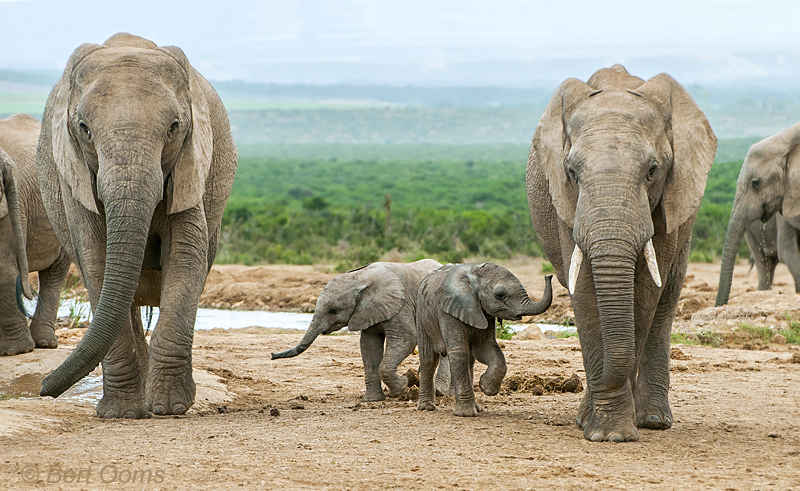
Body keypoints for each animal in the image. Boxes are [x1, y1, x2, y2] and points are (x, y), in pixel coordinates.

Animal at [36, 33, 238, 418]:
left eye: (174, 127)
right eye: (84, 129)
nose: (42, 389)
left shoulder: (190, 165)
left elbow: (186, 257)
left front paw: (171, 407)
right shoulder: (75, 178)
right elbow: (97, 262)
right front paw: (121, 414)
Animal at [272, 260, 440, 402]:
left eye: (333, 310)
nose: (272, 355)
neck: (360, 278)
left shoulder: (401, 305)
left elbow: (406, 340)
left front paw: (402, 386)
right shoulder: (366, 312)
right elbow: (369, 346)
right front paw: (372, 400)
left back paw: (437, 392)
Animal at [416, 264, 552, 418]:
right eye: (500, 295)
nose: (549, 276)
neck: (475, 273)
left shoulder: (484, 313)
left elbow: (487, 349)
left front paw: (486, 387)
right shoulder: (447, 312)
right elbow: (459, 351)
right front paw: (466, 414)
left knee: (469, 360)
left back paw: (477, 407)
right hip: (422, 314)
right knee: (429, 359)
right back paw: (427, 407)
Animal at [528, 64, 716, 442]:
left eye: (653, 171)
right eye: (572, 172)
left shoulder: (668, 200)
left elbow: (645, 291)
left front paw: (613, 431)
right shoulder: (566, 205)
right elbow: (586, 290)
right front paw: (605, 432)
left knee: (666, 299)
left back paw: (653, 420)